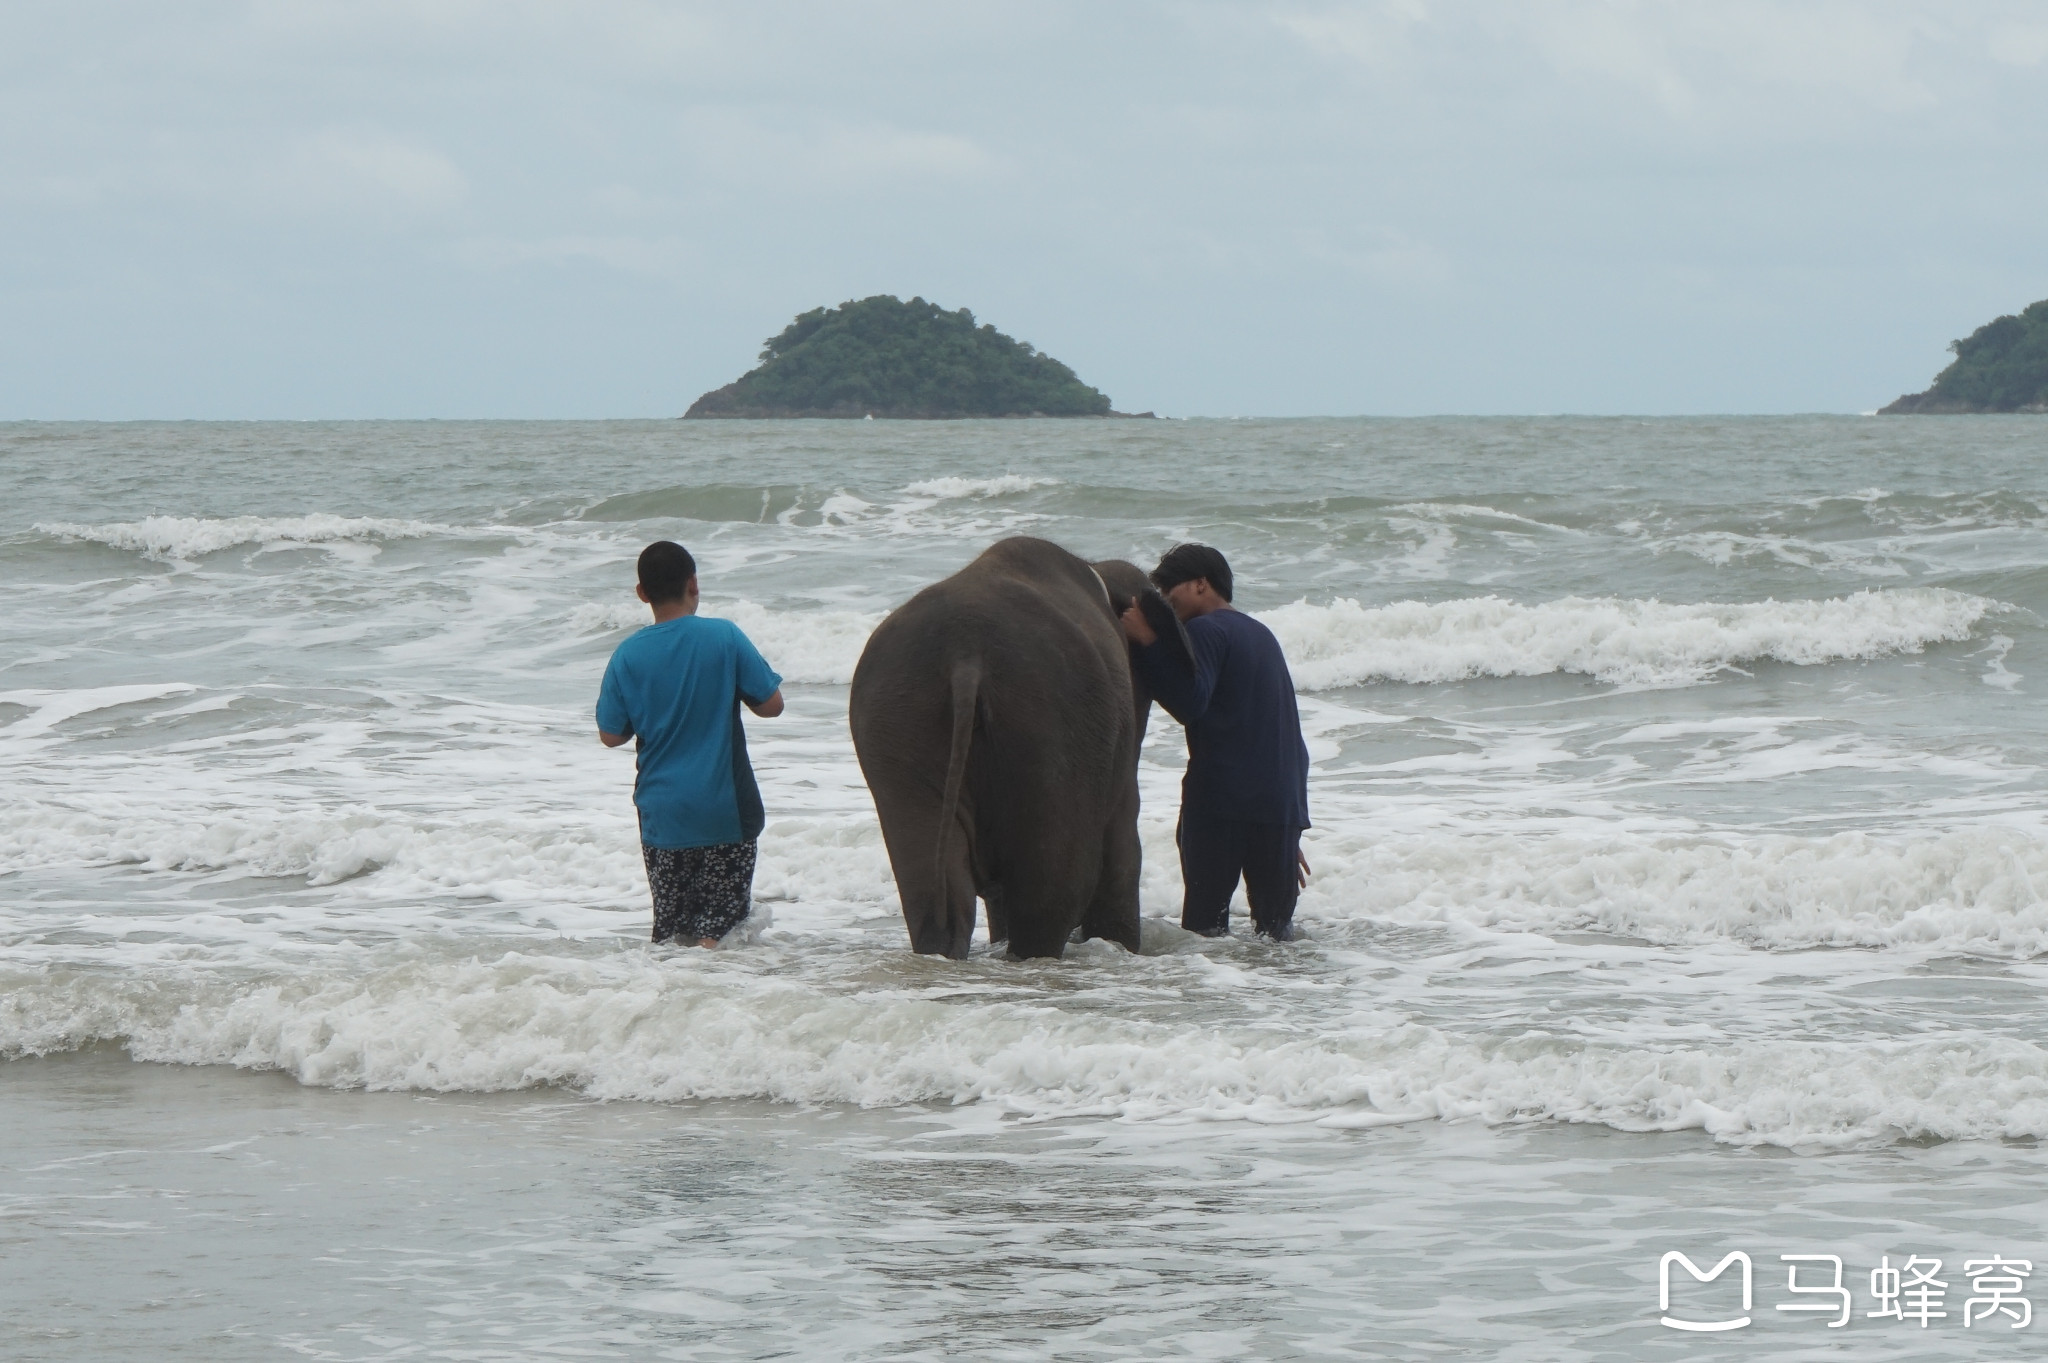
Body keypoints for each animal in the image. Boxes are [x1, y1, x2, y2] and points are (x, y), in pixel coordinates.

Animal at [851, 532, 1196, 953]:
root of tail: (964, 655)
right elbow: (1122, 842)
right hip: (1052, 724)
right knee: (1054, 891)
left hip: (897, 726)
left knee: (941, 897)